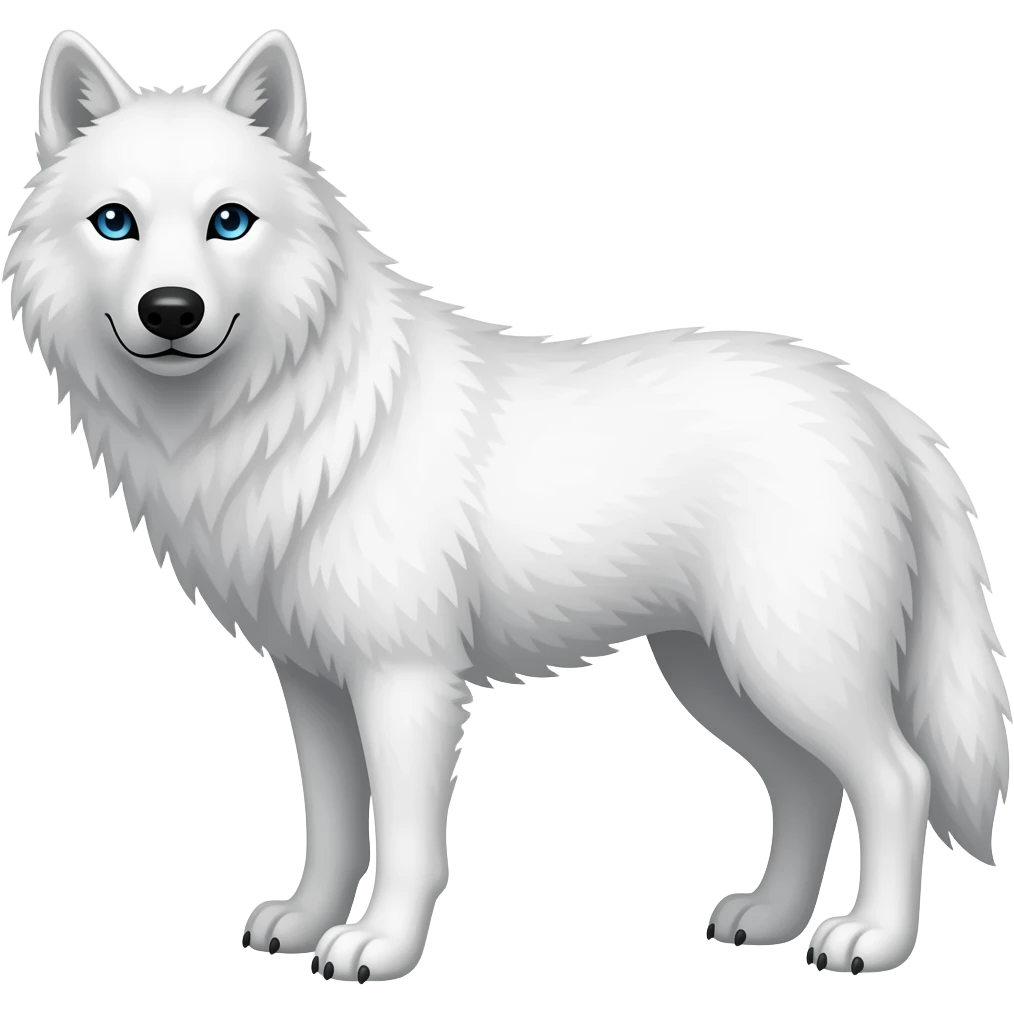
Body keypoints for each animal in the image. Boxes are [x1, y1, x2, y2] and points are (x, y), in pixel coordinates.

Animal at [4, 27, 1009, 983]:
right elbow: (332, 824)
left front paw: (380, 948)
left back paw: (871, 940)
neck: (295, 419)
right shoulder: (314, 683)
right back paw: (768, 920)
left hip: (789, 665)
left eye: (229, 222)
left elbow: (407, 842)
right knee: (807, 787)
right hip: (718, 672)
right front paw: (307, 922)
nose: (171, 311)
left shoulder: (405, 682)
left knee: (897, 779)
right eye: (115, 222)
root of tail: (874, 401)